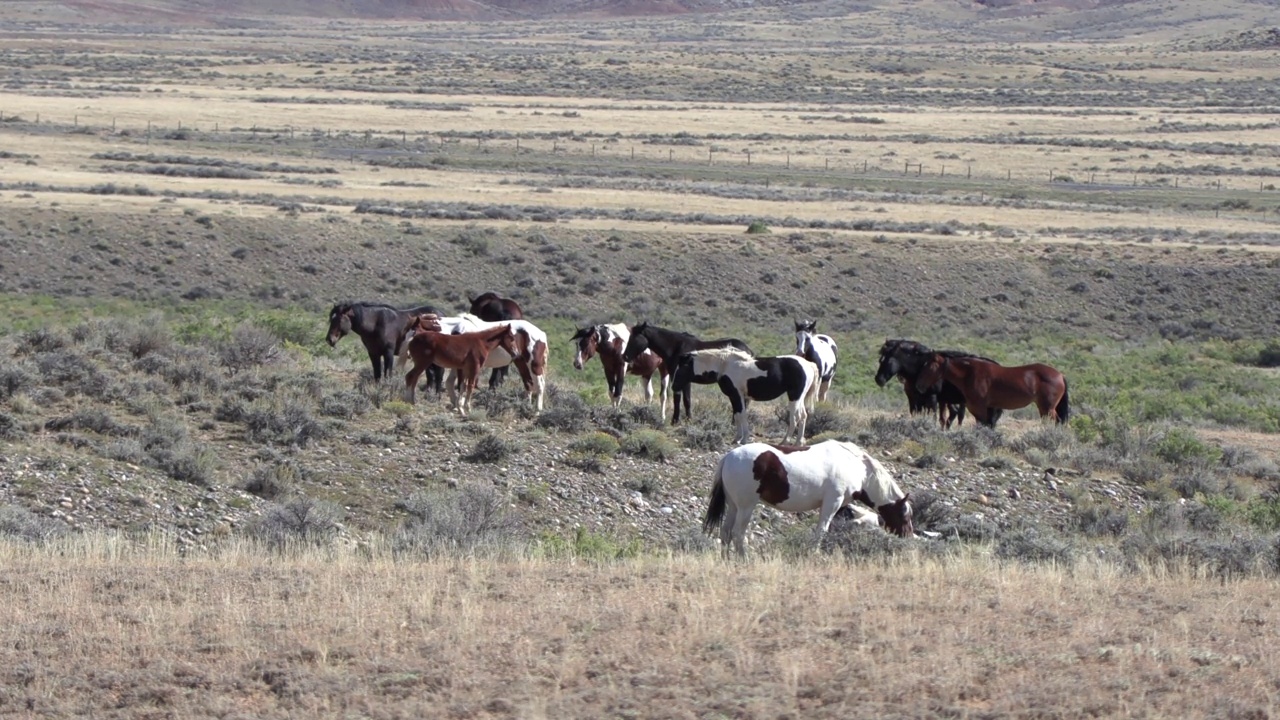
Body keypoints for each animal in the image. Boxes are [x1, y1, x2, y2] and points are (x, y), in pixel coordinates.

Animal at [619, 320, 747, 425]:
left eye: (634, 338)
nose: (624, 356)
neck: (676, 348)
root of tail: (747, 350)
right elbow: (686, 400)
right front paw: (688, 420)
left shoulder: (679, 379)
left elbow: (679, 399)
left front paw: (675, 421)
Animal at [675, 345, 814, 443]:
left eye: (683, 366)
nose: (674, 386)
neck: (724, 366)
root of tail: (809, 364)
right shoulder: (733, 397)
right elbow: (737, 415)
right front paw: (736, 438)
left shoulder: (738, 396)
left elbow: (742, 415)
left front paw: (744, 439)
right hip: (799, 398)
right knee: (803, 416)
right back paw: (798, 442)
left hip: (794, 397)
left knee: (795, 418)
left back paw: (785, 441)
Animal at [706, 438, 916, 556]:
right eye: (904, 515)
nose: (908, 536)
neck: (855, 467)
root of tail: (728, 457)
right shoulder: (832, 502)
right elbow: (821, 531)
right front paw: (814, 554)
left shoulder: (840, 506)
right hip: (746, 506)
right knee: (737, 534)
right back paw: (745, 558)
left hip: (734, 506)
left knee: (725, 532)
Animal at [870, 335, 998, 425]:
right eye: (880, 359)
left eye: (888, 360)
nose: (878, 379)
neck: (922, 368)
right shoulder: (915, 399)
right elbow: (917, 414)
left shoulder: (932, 398)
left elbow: (933, 417)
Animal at [911, 353, 1070, 425]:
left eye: (928, 366)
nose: (919, 385)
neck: (970, 374)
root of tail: (1060, 375)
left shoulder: (980, 408)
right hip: (1043, 408)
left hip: (1048, 408)